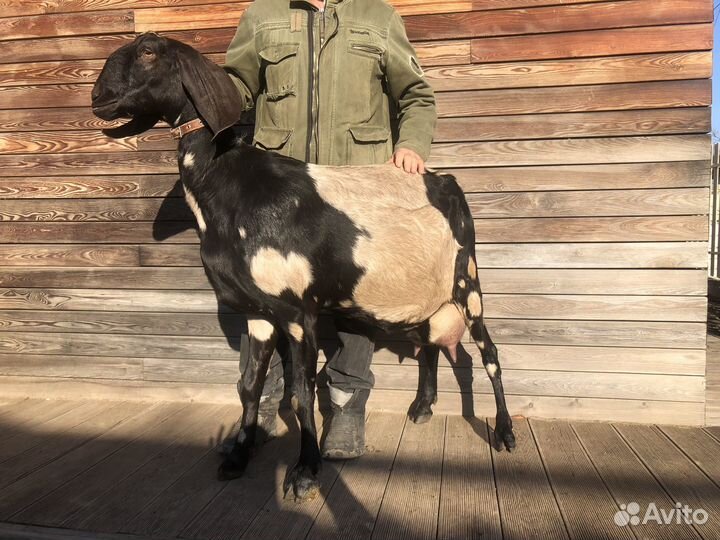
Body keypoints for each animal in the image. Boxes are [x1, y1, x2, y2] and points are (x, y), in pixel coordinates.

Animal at [91, 33, 515, 502]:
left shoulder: (299, 311)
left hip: (467, 282)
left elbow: (301, 394)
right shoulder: (258, 312)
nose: (97, 98)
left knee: (490, 354)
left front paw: (305, 471)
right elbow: (249, 387)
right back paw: (422, 407)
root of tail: (448, 182)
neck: (232, 187)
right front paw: (238, 455)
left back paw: (505, 432)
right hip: (420, 297)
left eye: (149, 51)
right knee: (429, 344)